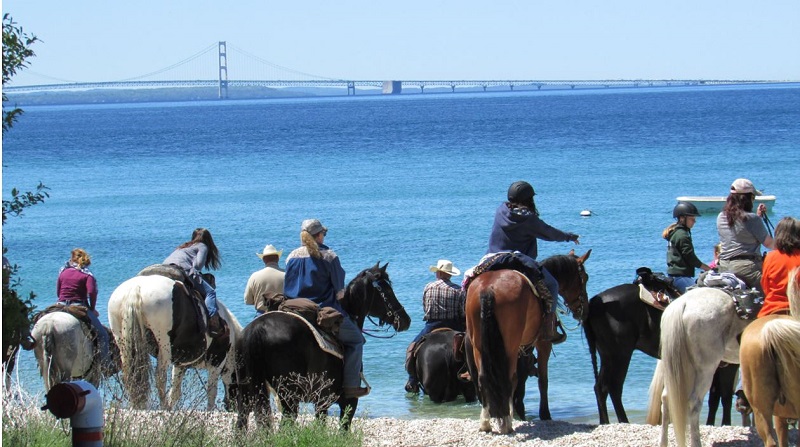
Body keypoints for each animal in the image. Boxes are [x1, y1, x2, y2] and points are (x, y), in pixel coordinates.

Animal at [108, 272, 242, 412]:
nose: (232, 407)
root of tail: (136, 288)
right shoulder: (217, 362)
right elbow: (212, 392)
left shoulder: (180, 365)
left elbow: (175, 393)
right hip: (164, 346)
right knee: (160, 378)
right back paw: (164, 407)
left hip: (122, 341)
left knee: (130, 377)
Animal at [231, 260, 406, 432]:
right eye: (387, 290)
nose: (406, 319)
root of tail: (258, 328)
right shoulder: (340, 401)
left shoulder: (321, 402)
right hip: (288, 396)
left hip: (247, 392)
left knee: (241, 423)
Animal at [462, 248, 588, 434]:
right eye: (584, 278)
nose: (583, 310)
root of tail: (487, 289)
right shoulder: (542, 344)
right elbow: (542, 379)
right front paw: (545, 414)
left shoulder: (524, 348)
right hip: (509, 346)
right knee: (507, 378)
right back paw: (506, 423)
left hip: (478, 345)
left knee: (483, 378)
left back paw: (486, 423)